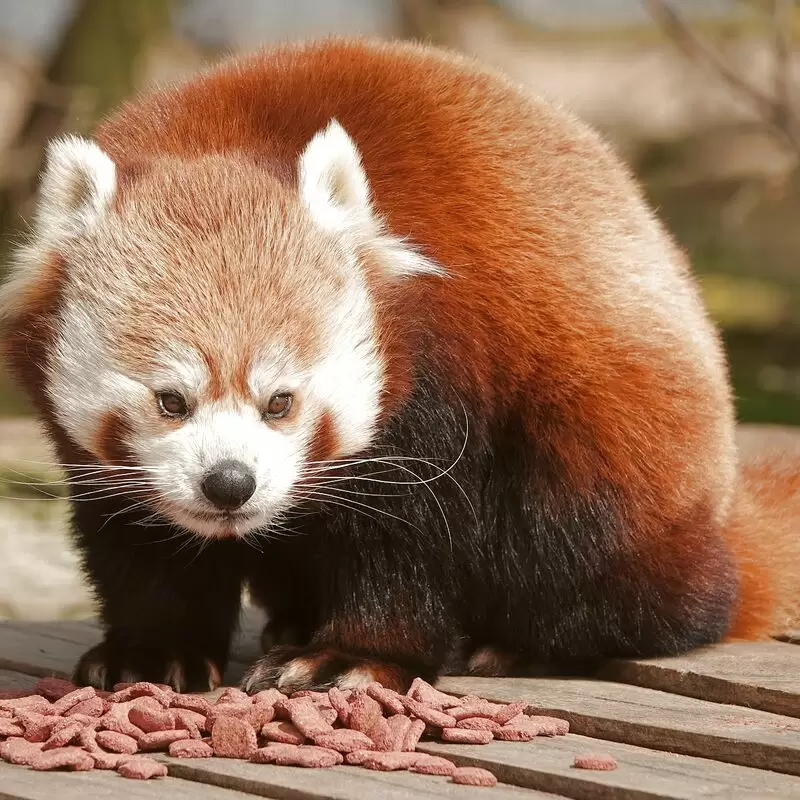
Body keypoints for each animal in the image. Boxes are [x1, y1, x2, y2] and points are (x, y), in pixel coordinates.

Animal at [1, 34, 800, 692]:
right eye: (172, 400)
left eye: (281, 401)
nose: (230, 484)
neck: (222, 133)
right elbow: (140, 542)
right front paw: (152, 650)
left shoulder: (442, 377)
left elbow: (406, 538)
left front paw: (353, 655)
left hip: (606, 446)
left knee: (601, 559)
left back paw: (520, 642)